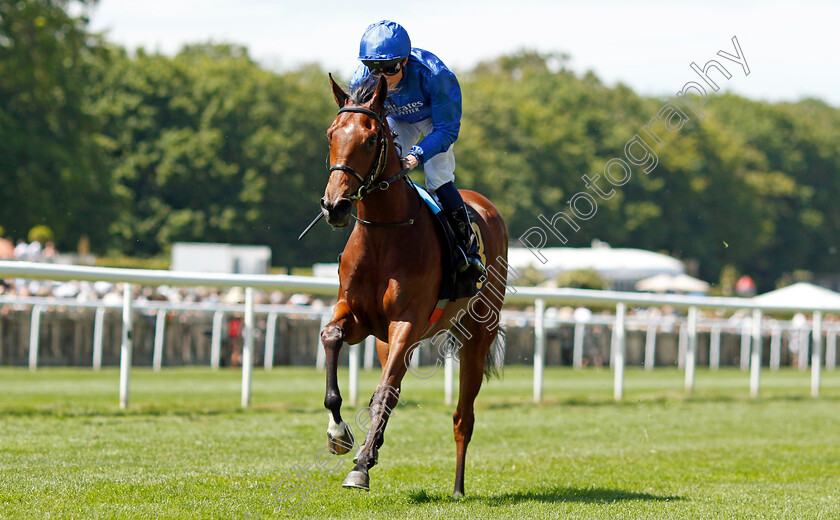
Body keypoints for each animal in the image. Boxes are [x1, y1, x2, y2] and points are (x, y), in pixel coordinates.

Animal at [318, 72, 508, 496]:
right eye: (331, 134)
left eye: (370, 138)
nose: (335, 206)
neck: (383, 234)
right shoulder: (361, 320)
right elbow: (331, 337)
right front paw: (339, 434)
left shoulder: (406, 321)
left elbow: (385, 393)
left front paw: (361, 468)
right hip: (387, 342)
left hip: (475, 336)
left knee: (463, 416)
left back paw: (457, 487)